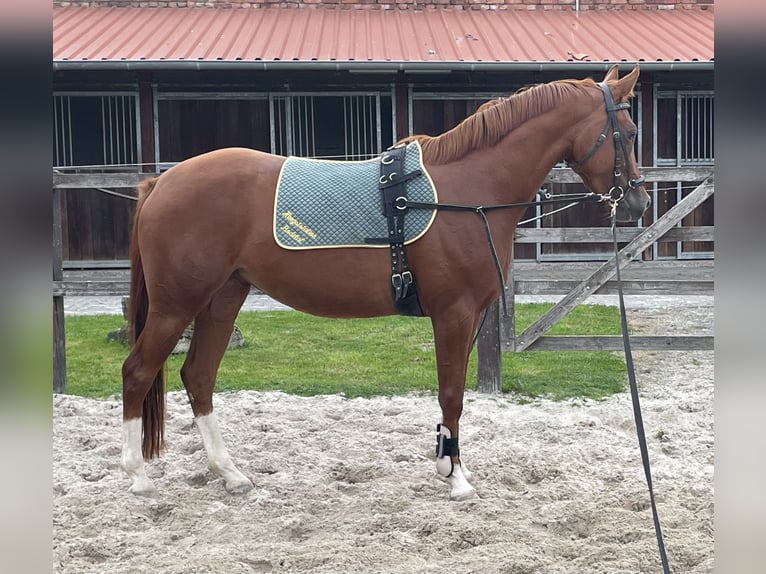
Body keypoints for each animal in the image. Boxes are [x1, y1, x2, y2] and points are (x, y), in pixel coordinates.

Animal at [123, 65, 652, 502]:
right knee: (138, 371)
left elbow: (453, 394)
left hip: (222, 298)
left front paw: (450, 466)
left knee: (199, 376)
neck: (467, 190)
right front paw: (456, 480)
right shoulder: (455, 314)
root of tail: (161, 183)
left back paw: (230, 474)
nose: (638, 202)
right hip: (176, 305)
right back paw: (138, 476)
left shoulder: (469, 317)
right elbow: (451, 393)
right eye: (628, 132)